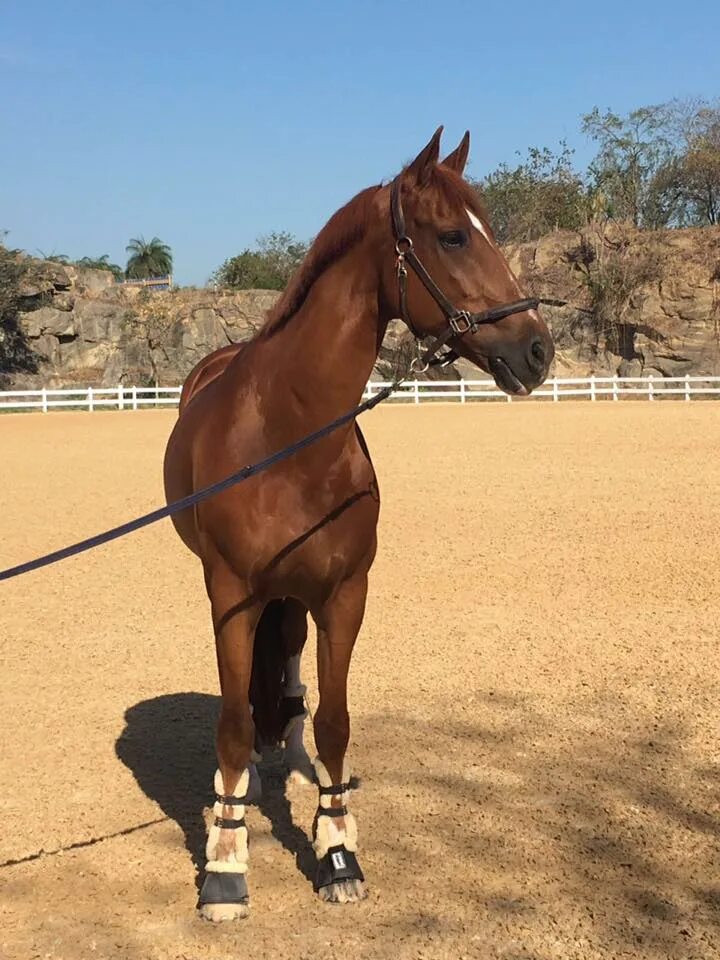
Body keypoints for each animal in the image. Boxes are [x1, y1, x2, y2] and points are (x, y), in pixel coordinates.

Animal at [166, 125, 556, 916]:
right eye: (452, 237)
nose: (537, 349)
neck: (289, 436)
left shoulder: (344, 594)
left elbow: (334, 720)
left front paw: (337, 848)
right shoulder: (232, 595)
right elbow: (230, 725)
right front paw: (225, 863)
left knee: (286, 676)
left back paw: (285, 756)